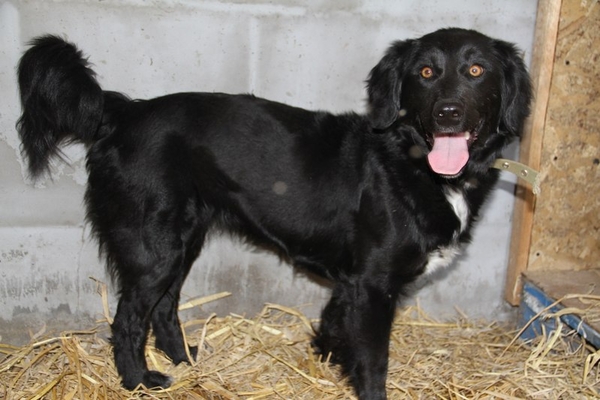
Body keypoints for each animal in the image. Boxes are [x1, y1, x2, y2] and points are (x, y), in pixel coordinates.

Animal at [15, 28, 528, 400]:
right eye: (425, 71)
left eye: (476, 70)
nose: (448, 113)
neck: (417, 165)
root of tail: (123, 112)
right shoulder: (374, 285)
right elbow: (373, 362)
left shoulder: (353, 283)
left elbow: (335, 326)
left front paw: (326, 359)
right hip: (152, 249)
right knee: (127, 321)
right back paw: (138, 381)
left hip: (181, 243)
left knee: (163, 310)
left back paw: (185, 361)